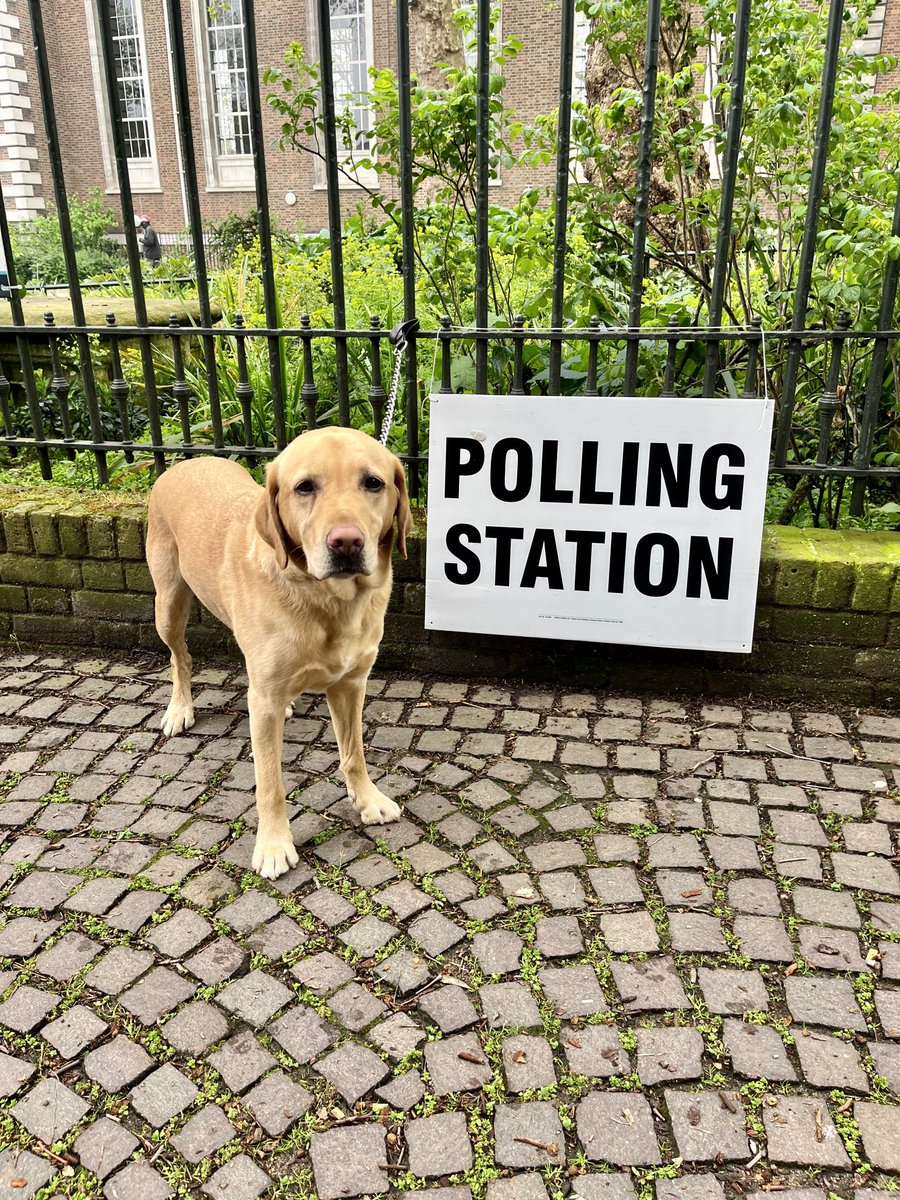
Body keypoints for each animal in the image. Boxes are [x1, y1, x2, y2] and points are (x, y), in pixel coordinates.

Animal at [148, 427, 412, 878]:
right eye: (304, 487)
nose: (346, 542)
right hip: (167, 604)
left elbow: (354, 754)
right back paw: (179, 709)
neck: (329, 600)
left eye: (373, 483)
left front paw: (367, 799)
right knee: (179, 658)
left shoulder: (351, 685)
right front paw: (273, 845)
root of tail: (187, 460)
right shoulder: (267, 703)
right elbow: (270, 782)